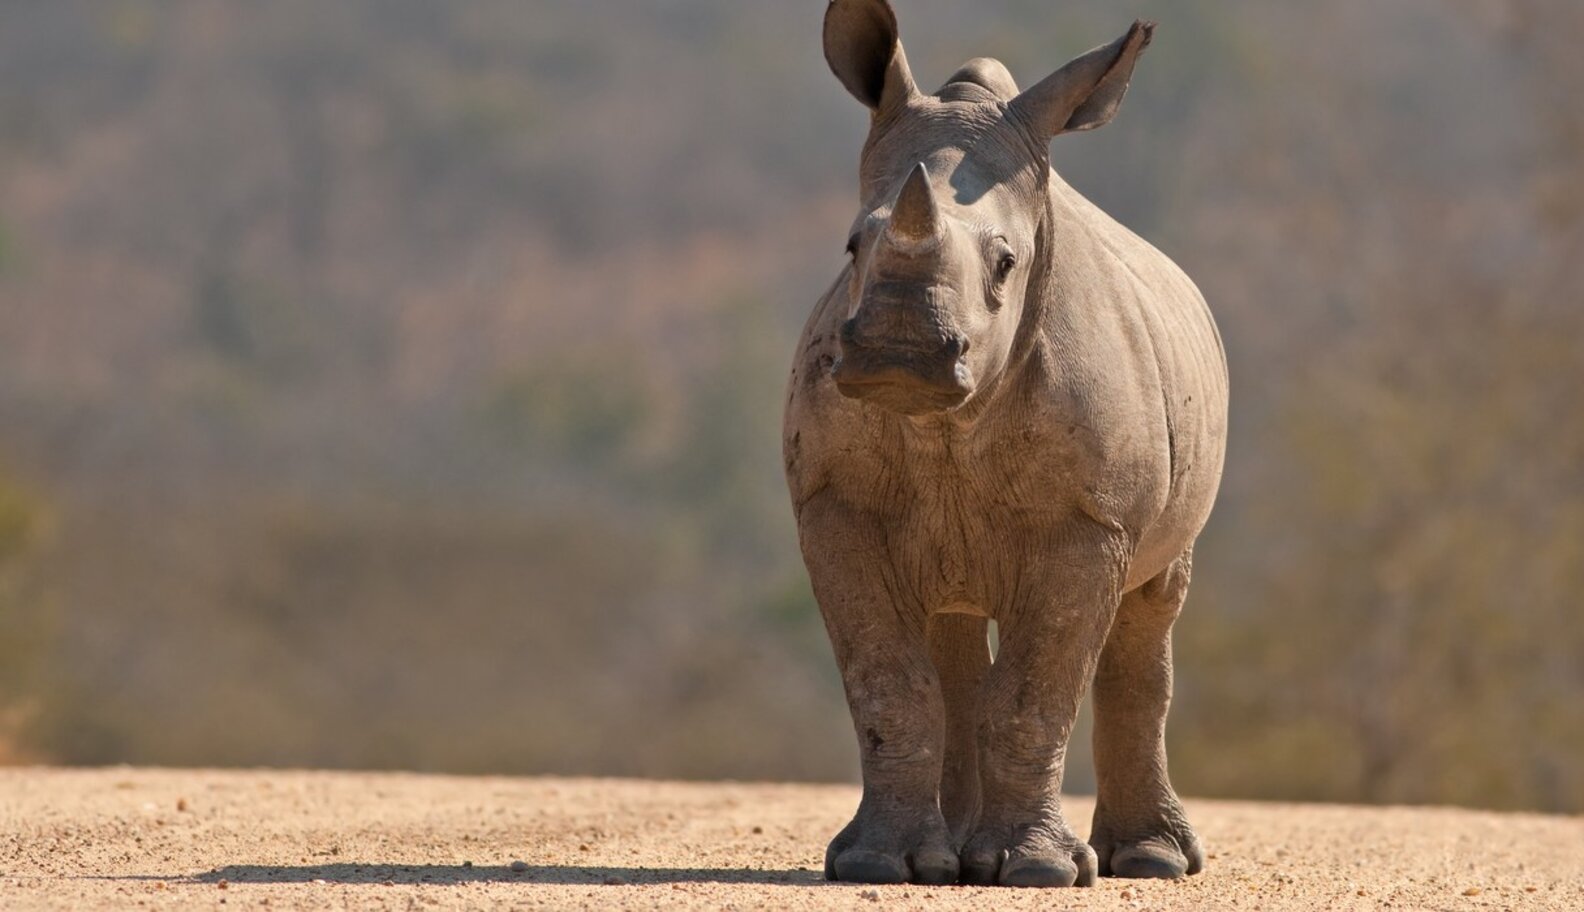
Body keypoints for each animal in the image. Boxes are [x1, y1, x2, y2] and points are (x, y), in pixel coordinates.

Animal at [781, 0, 1229, 888]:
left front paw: (1038, 872)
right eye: (852, 246)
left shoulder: (1089, 522)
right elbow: (887, 685)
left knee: (1151, 614)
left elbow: (1034, 695)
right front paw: (876, 863)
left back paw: (1152, 861)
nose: (903, 354)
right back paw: (946, 857)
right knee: (950, 631)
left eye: (1006, 263)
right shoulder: (833, 505)